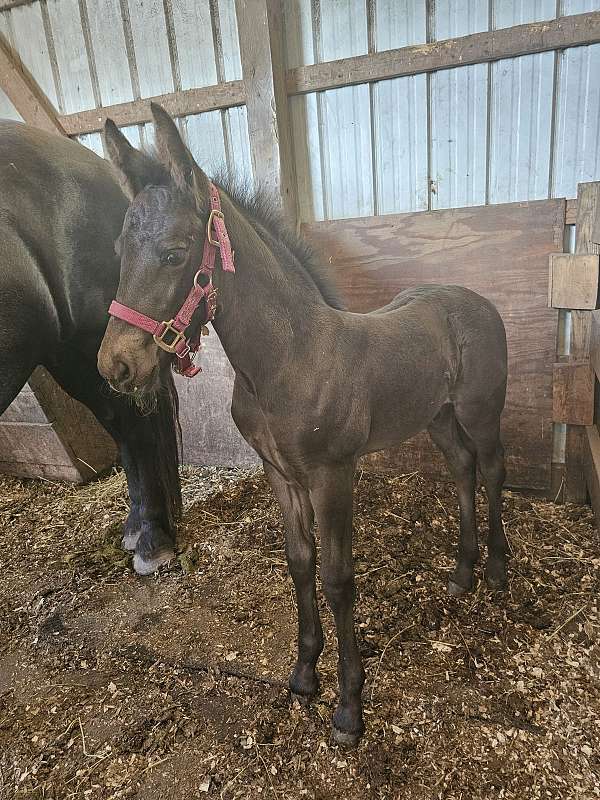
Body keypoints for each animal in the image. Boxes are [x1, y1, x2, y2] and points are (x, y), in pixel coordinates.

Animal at [96, 104, 508, 744]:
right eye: (120, 249)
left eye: (175, 251)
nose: (116, 364)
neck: (289, 358)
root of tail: (477, 301)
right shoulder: (280, 473)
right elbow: (299, 562)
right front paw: (304, 673)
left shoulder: (332, 474)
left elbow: (338, 578)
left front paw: (349, 707)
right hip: (437, 417)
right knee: (463, 469)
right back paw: (461, 573)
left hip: (479, 410)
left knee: (491, 468)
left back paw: (494, 569)